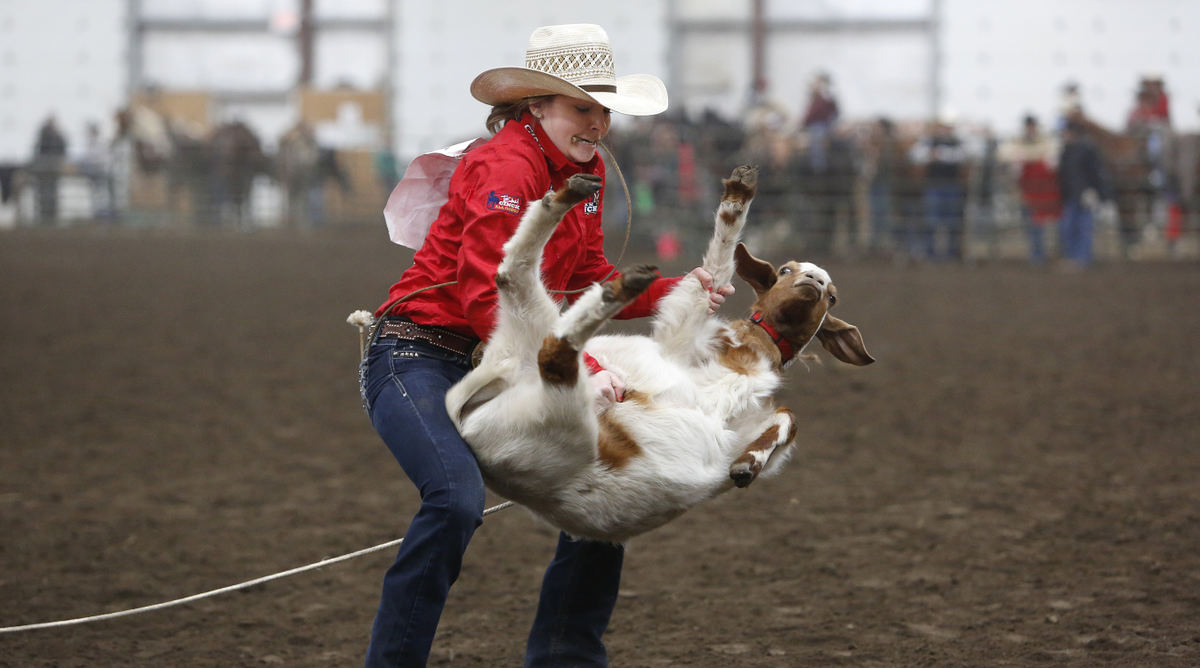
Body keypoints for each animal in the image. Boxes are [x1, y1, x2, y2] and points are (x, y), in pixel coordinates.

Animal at [446, 165, 878, 542]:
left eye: (833, 296)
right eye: (786, 270)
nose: (815, 280)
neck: (751, 350)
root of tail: (465, 425)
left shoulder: (740, 427)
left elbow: (786, 419)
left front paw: (748, 465)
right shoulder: (680, 338)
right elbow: (711, 277)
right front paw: (735, 198)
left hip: (546, 387)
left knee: (524, 294)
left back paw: (594, 245)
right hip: (555, 400)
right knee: (530, 304)